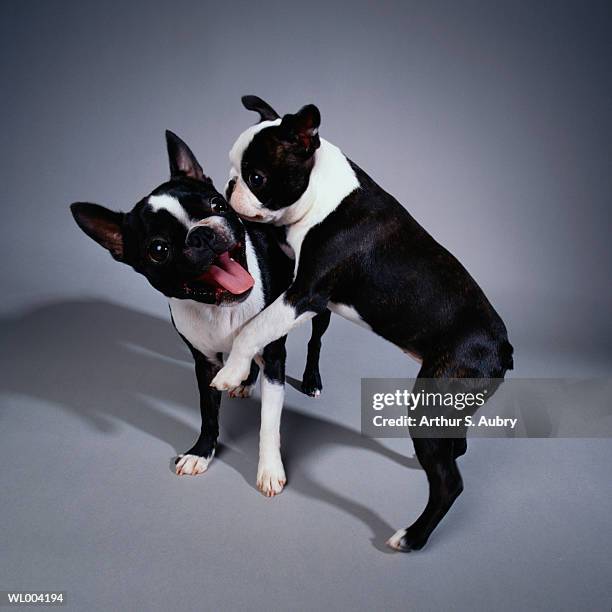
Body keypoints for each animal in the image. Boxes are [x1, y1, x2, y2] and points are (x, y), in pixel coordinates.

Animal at [68, 131, 330, 494]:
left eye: (218, 205)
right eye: (159, 249)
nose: (202, 233)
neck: (219, 308)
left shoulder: (275, 356)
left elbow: (268, 421)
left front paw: (269, 470)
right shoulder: (205, 364)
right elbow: (208, 412)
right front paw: (201, 452)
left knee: (315, 341)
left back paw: (311, 379)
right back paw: (245, 380)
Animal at [213, 95, 512, 548]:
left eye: (257, 178)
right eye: (233, 169)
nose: (229, 186)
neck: (322, 192)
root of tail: (503, 347)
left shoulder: (304, 293)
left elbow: (253, 328)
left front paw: (231, 372)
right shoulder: (296, 288)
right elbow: (261, 321)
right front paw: (244, 375)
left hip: (431, 395)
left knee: (449, 482)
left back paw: (412, 538)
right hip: (446, 401)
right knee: (453, 444)